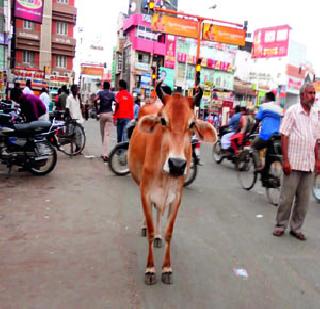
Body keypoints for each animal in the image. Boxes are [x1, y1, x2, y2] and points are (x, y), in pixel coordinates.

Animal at [129, 88, 216, 282]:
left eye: (192, 124)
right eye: (163, 120)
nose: (177, 164)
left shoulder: (176, 197)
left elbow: (169, 231)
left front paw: (167, 268)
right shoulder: (145, 192)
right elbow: (150, 229)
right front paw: (150, 269)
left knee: (159, 213)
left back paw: (158, 237)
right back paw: (145, 227)